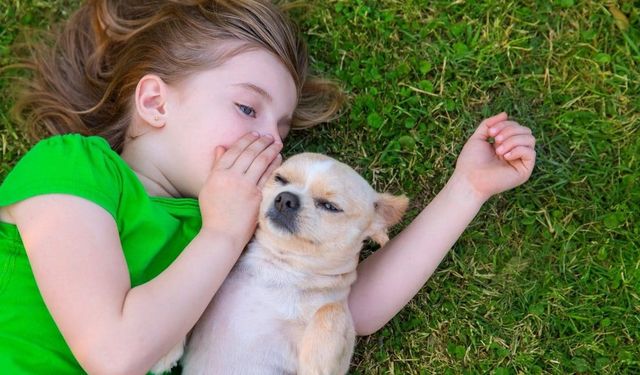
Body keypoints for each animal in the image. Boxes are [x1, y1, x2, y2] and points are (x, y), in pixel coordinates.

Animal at [152, 153, 408, 375]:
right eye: (280, 179)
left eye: (330, 206)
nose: (286, 198)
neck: (280, 267)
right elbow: (189, 304)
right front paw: (165, 351)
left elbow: (331, 309)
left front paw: (315, 361)